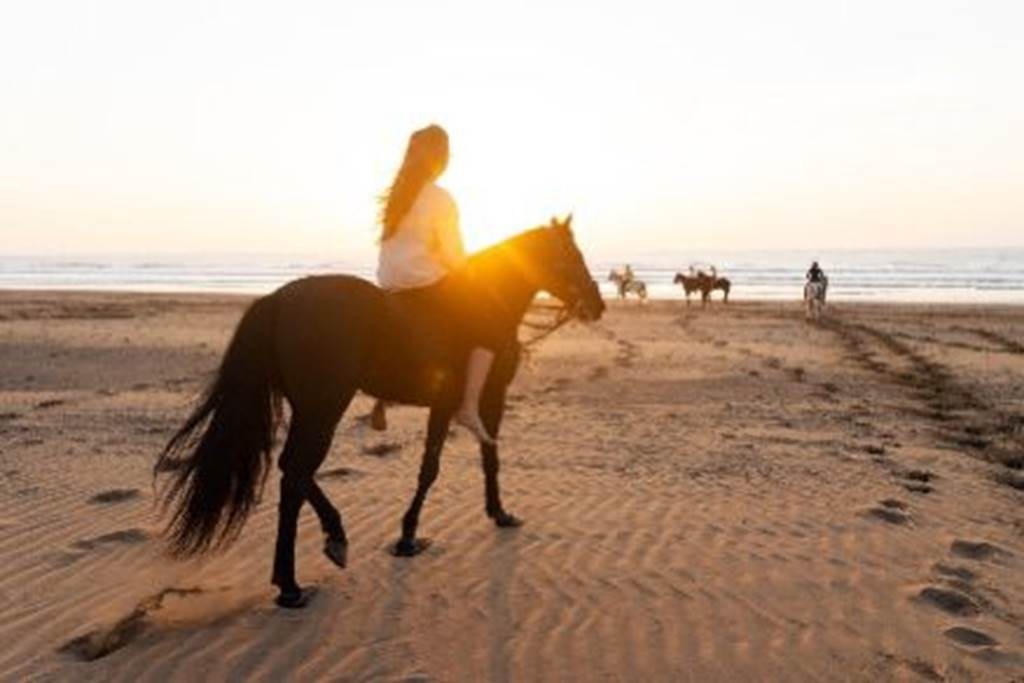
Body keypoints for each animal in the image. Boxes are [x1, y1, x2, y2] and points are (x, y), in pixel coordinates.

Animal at [154, 216, 605, 608]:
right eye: (571, 255)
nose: (597, 303)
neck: (485, 302)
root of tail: (280, 299)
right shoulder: (481, 400)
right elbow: (459, 462)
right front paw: (426, 531)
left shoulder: (450, 405)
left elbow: (460, 461)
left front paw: (479, 516)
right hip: (324, 408)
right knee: (296, 473)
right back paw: (301, 574)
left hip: (309, 409)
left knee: (292, 472)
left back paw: (313, 556)